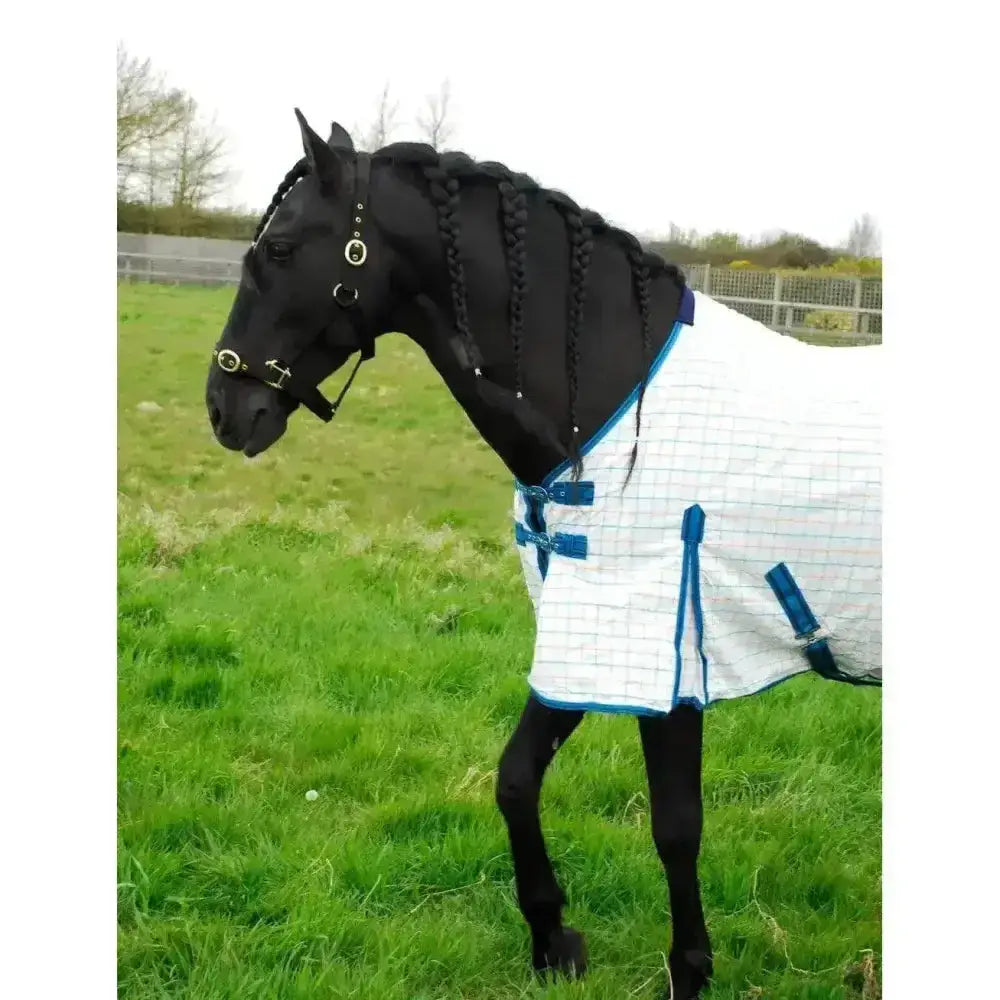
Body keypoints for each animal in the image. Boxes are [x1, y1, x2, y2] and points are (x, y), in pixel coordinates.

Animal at [204, 109, 881, 1000]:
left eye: (280, 250)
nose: (224, 408)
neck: (615, 412)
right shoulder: (583, 640)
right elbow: (515, 778)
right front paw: (553, 937)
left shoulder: (659, 655)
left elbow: (676, 826)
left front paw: (688, 969)